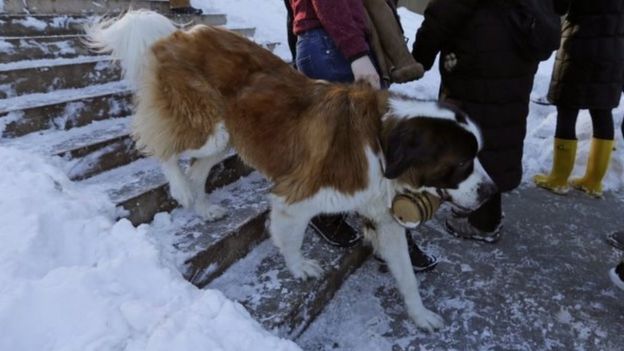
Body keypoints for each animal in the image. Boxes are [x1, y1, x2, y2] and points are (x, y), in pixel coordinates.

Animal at [88, 9, 498, 332]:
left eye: (476, 157)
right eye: (462, 164)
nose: (490, 191)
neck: (381, 144)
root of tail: (180, 32)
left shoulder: (384, 218)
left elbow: (407, 274)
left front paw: (421, 315)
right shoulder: (295, 198)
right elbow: (291, 236)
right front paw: (299, 267)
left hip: (226, 135)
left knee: (198, 166)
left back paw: (202, 206)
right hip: (206, 127)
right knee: (161, 147)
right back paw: (181, 190)